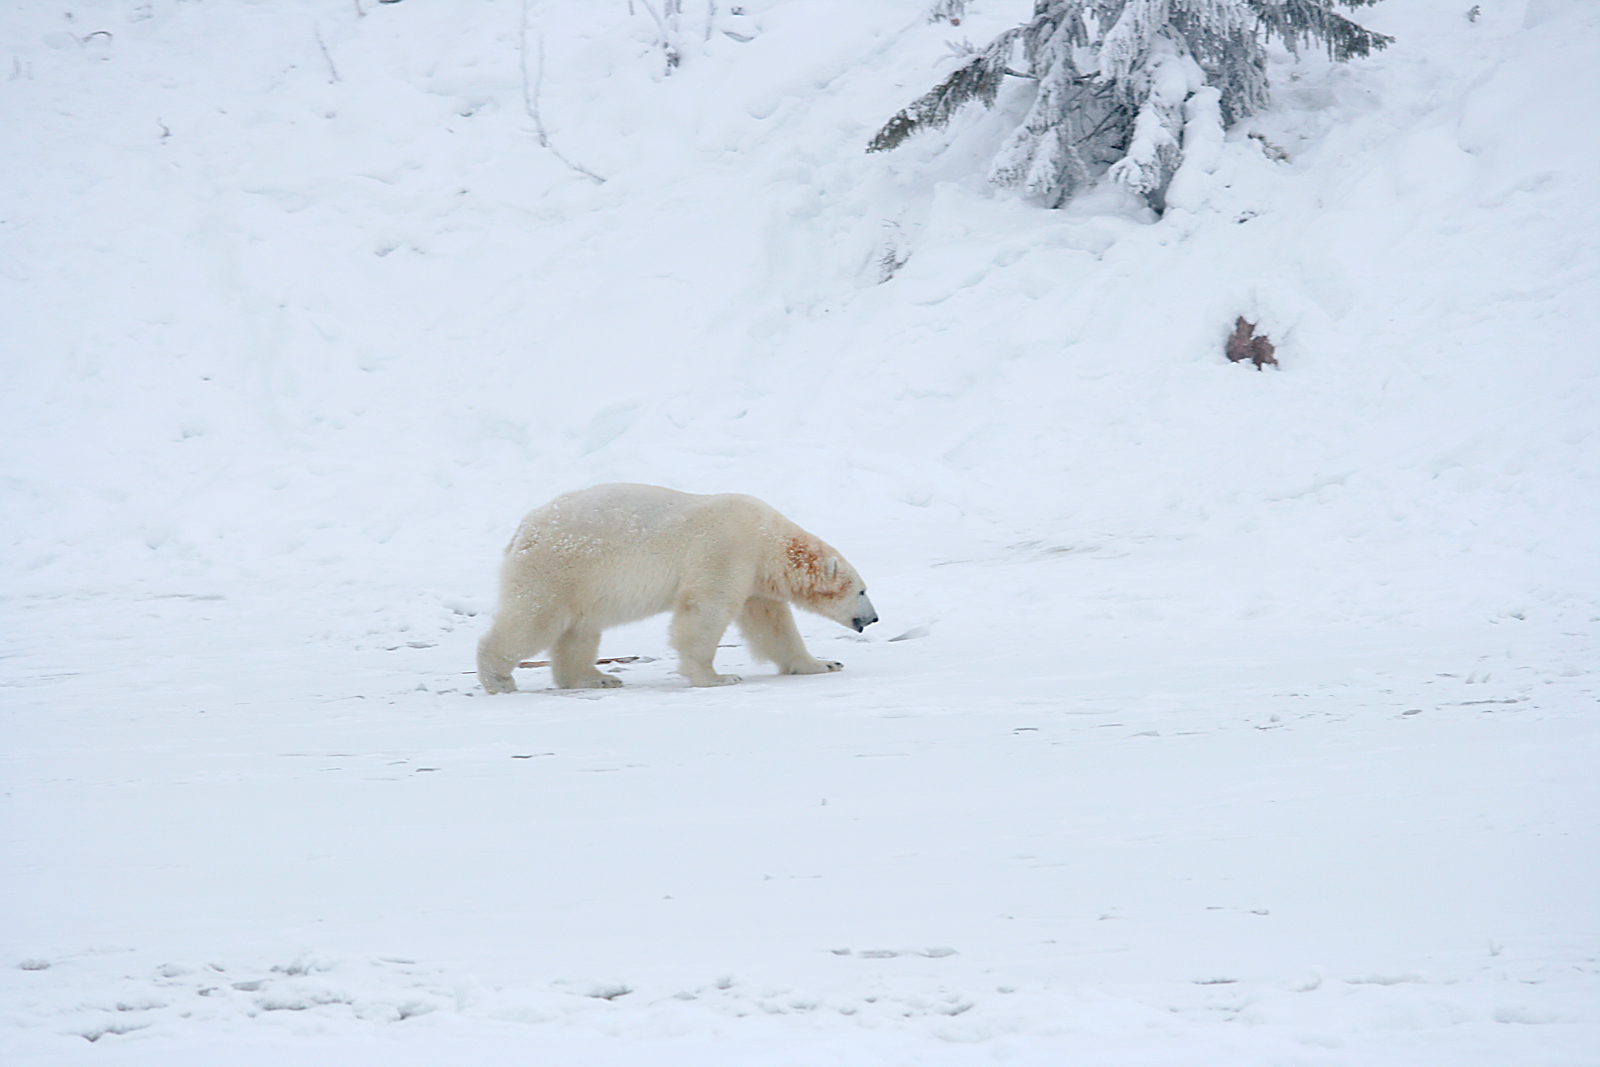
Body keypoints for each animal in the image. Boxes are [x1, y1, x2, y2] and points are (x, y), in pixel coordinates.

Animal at [476, 484, 878, 693]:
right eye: (861, 590)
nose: (873, 618)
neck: (768, 538)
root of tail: (522, 531)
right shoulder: (727, 549)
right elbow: (705, 609)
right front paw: (717, 676)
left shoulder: (756, 578)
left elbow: (773, 626)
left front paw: (824, 663)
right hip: (558, 567)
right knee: (534, 619)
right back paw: (499, 680)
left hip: (583, 583)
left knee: (580, 630)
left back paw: (596, 677)